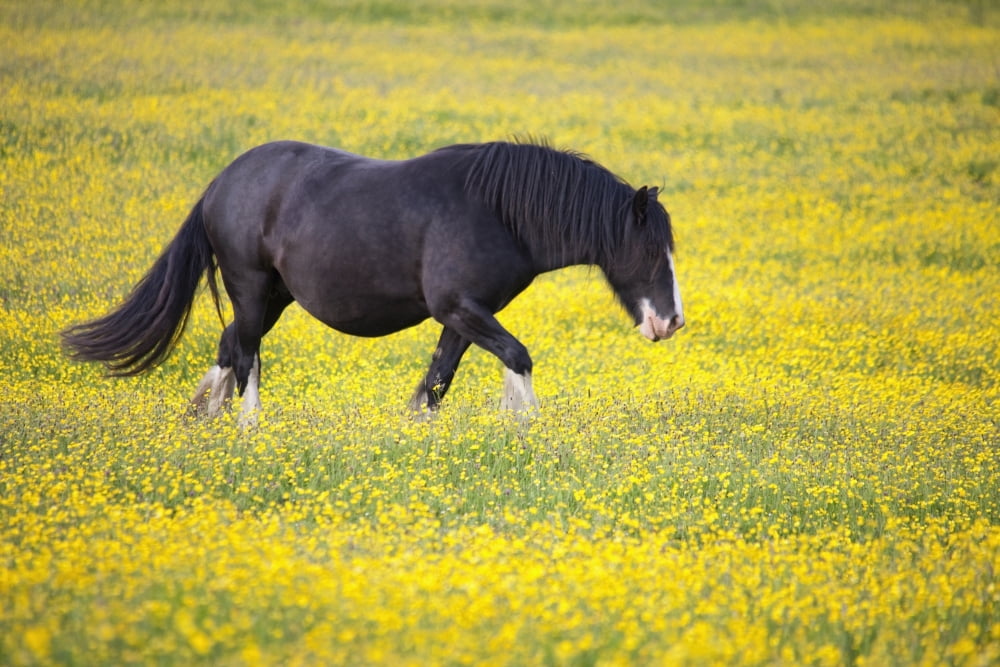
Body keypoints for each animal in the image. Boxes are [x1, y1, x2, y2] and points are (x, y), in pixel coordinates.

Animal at [62, 140, 684, 421]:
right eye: (649, 250)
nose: (671, 322)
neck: (497, 212)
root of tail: (222, 182)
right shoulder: (459, 307)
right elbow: (518, 357)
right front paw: (528, 428)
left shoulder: (463, 316)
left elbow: (436, 383)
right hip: (250, 288)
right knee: (245, 355)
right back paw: (248, 429)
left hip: (274, 297)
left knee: (228, 346)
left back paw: (203, 418)